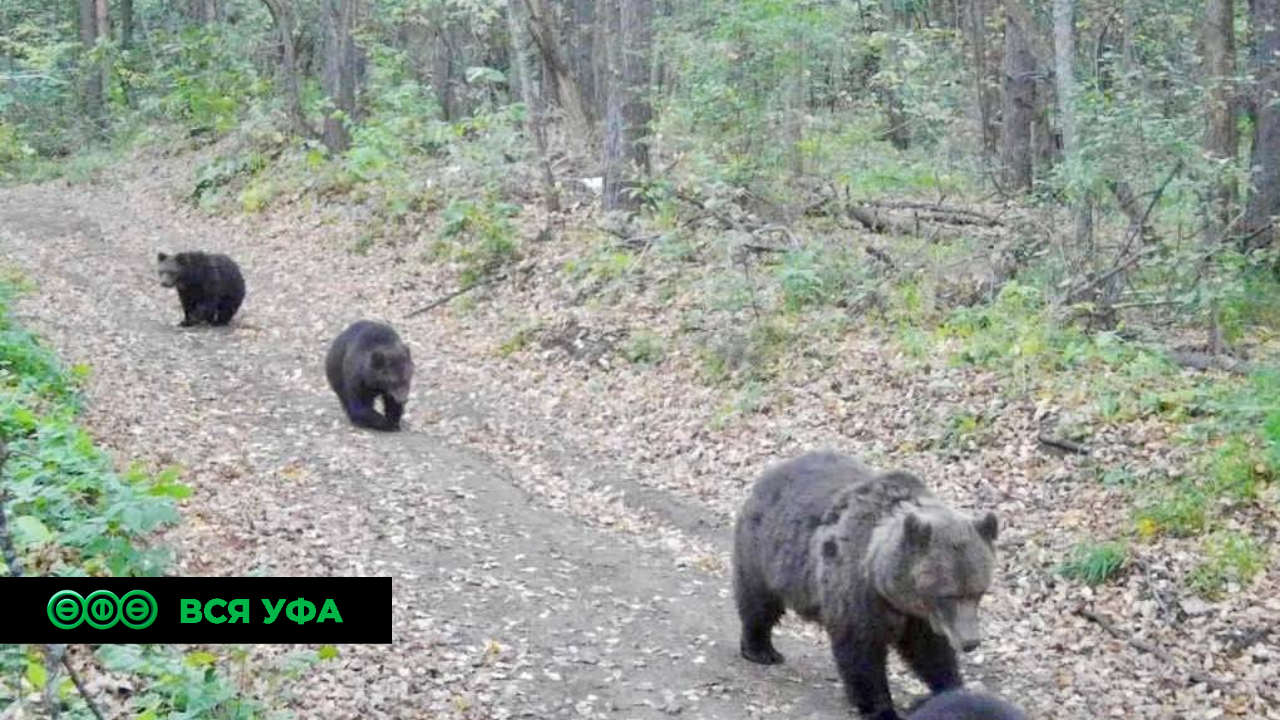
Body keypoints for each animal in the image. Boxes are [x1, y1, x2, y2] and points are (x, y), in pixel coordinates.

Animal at [732, 448, 998, 717]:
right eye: (948, 594)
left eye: (978, 592)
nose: (970, 642)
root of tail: (774, 471)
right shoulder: (855, 590)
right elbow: (861, 650)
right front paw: (880, 707)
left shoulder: (918, 616)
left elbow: (929, 650)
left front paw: (950, 684)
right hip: (764, 551)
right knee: (759, 601)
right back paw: (761, 650)